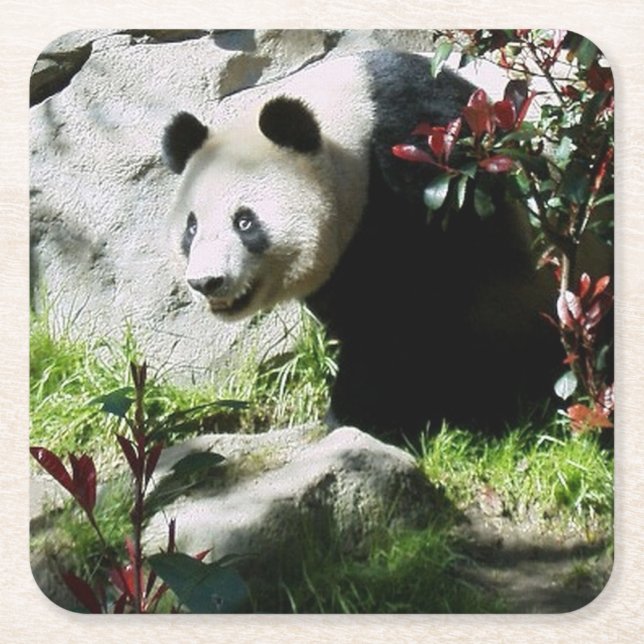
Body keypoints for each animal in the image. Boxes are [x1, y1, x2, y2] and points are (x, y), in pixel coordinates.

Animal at [161, 50, 596, 440]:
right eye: (191, 228)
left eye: (245, 221)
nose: (207, 281)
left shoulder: (429, 174)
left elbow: (412, 310)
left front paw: (365, 416)